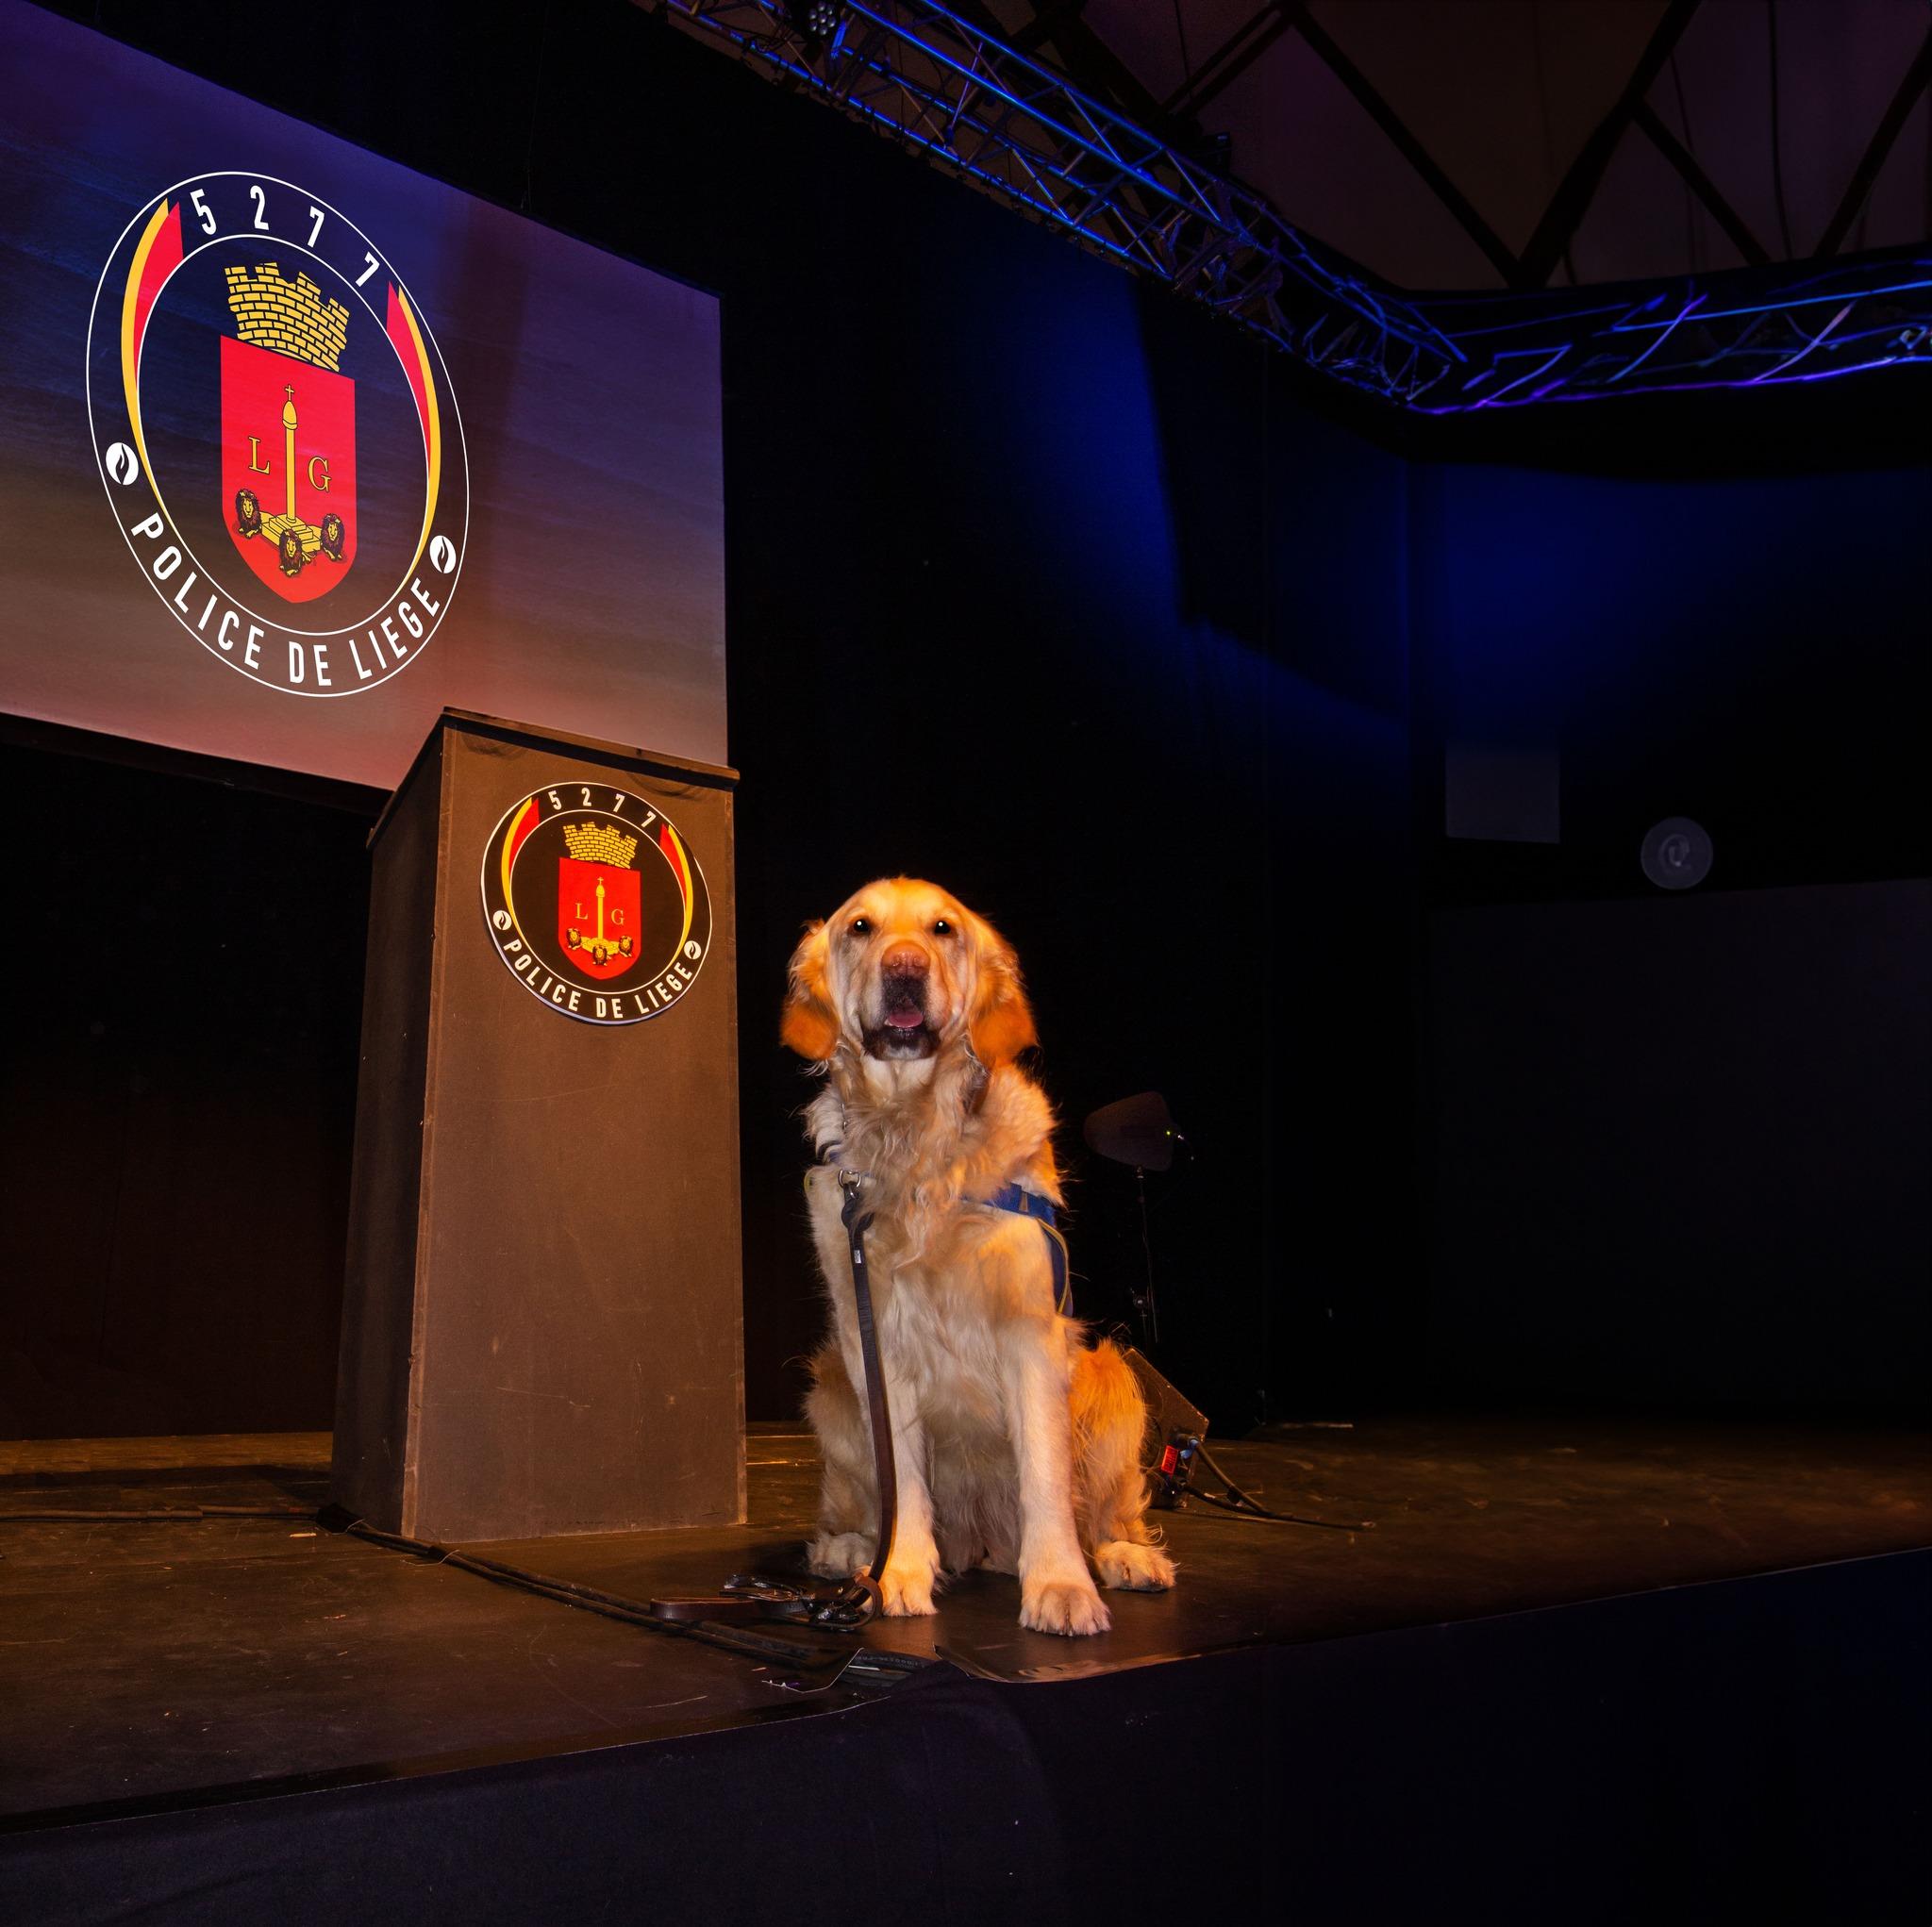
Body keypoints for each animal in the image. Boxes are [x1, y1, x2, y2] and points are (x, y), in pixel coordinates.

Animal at [776, 884, 1166, 1636]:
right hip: (831, 1384)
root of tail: (983, 1544)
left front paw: (1061, 1584)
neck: (915, 1143)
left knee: (1106, 1510)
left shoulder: (1029, 1331)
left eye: (943, 928)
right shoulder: (875, 1340)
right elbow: (902, 1480)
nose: (903, 966)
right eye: (861, 927)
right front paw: (898, 1572)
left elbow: (1045, 1475)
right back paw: (850, 1549)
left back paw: (1125, 1554)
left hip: (1113, 1379)